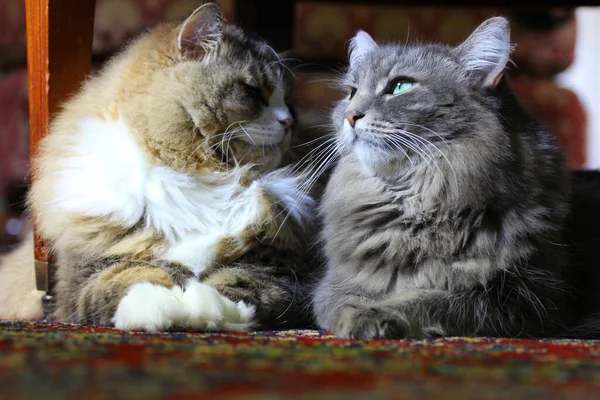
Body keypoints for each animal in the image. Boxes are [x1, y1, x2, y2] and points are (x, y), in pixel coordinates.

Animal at [0, 3, 316, 332]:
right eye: (254, 91)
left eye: (288, 101)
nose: (288, 122)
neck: (195, 177)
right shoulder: (83, 277)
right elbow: (128, 279)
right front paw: (163, 306)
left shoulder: (280, 269)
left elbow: (239, 286)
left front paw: (202, 309)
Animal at [312, 17, 600, 340]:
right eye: (351, 92)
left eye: (400, 86)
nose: (350, 115)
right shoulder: (333, 287)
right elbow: (344, 301)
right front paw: (353, 317)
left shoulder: (524, 295)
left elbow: (430, 300)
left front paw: (373, 316)